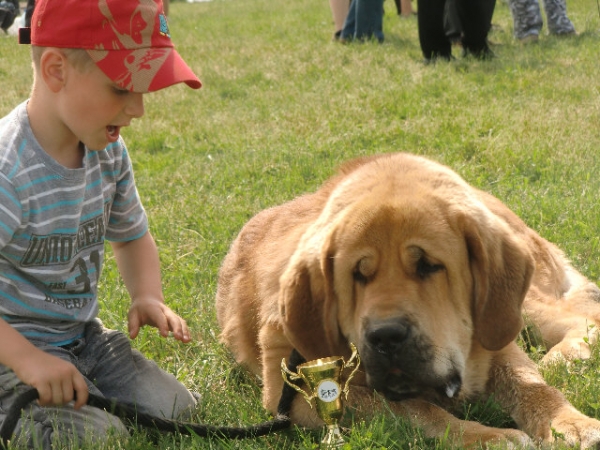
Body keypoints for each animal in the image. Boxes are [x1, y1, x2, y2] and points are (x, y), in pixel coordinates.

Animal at [218, 152, 600, 446]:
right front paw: (489, 437)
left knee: (584, 316)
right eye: (358, 274)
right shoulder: (294, 396)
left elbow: (534, 388)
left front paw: (574, 426)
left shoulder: (495, 339)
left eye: (429, 266)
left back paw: (564, 356)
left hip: (519, 307)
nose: (386, 336)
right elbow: (416, 409)